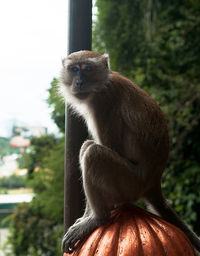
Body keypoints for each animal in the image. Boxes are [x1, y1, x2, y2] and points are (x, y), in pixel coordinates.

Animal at [59, 50, 200, 254]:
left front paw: (90, 219)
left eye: (88, 69)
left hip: (130, 183)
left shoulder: (104, 102)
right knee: (88, 148)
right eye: (74, 69)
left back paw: (98, 218)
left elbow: (110, 147)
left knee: (93, 152)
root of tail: (153, 183)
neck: (102, 83)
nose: (79, 82)